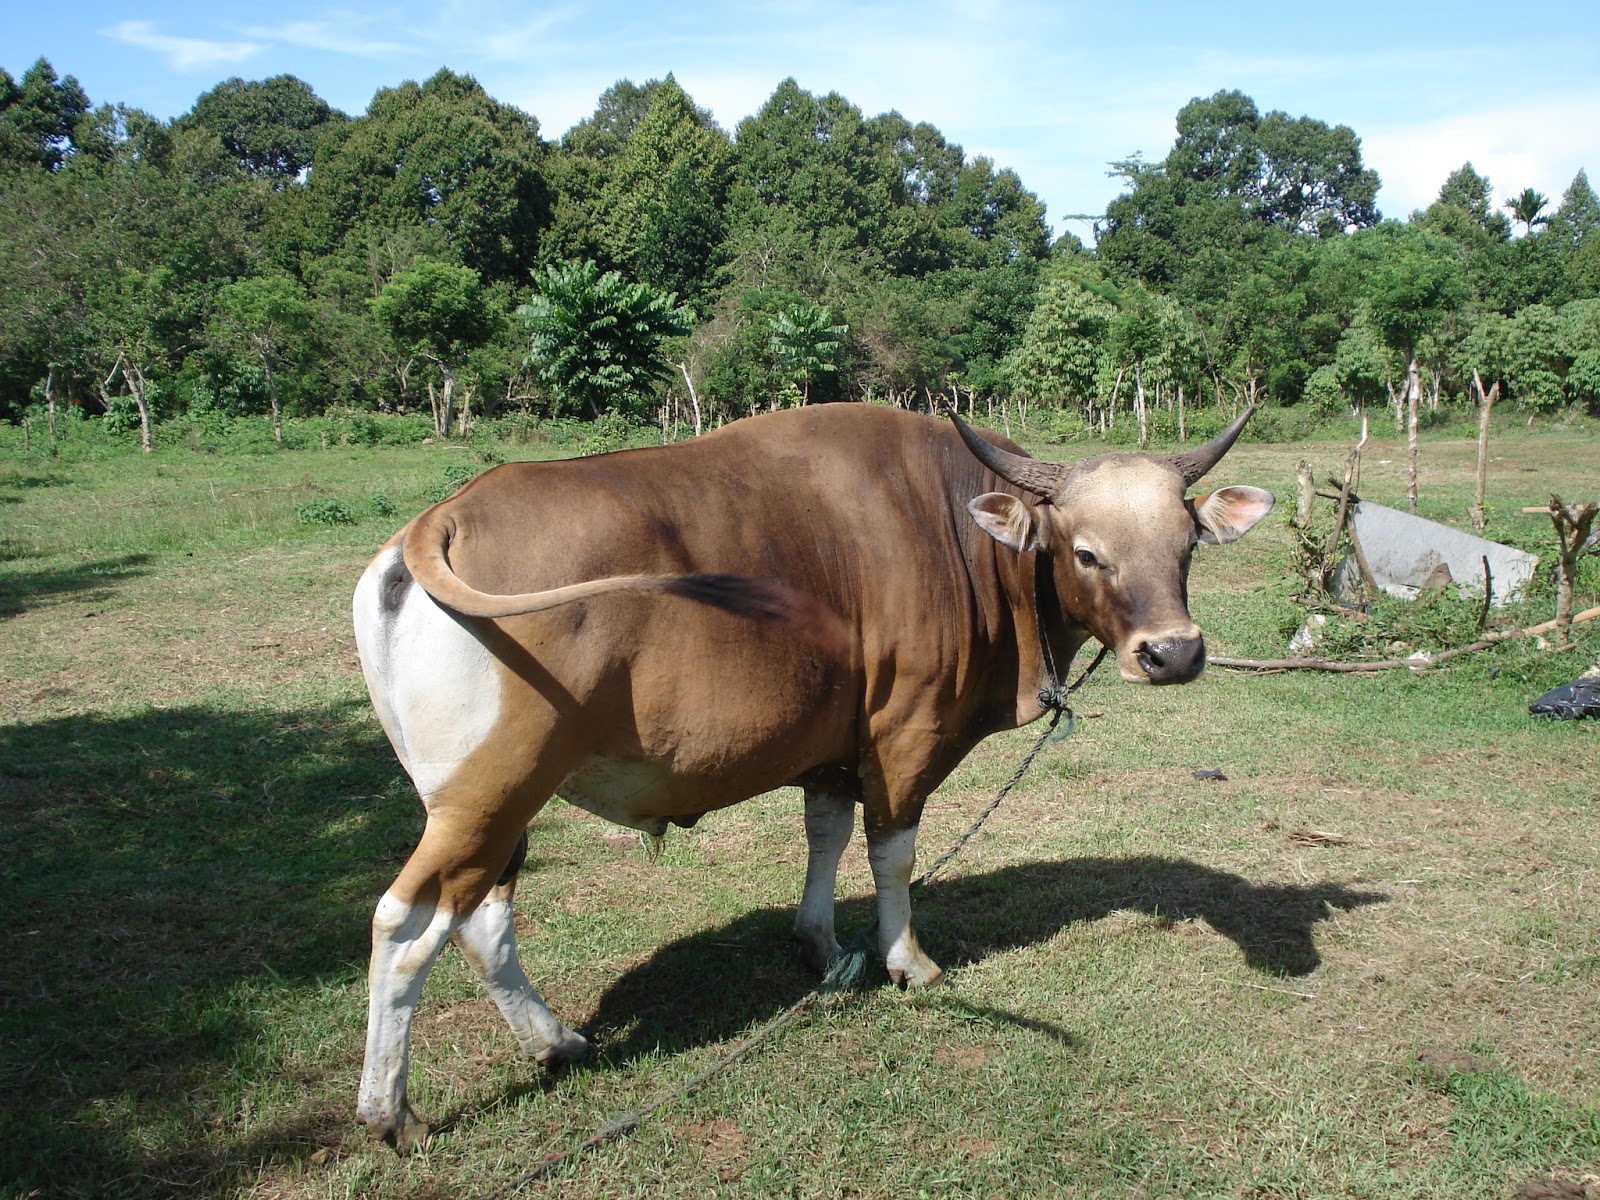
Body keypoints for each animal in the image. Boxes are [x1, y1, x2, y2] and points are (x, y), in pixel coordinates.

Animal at [353, 401, 1273, 1145]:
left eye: (1187, 544)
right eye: (1085, 553)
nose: (1173, 653)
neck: (957, 536)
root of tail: (440, 523)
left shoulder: (833, 751)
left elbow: (825, 837)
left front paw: (822, 947)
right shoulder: (906, 738)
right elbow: (892, 853)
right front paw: (906, 961)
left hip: (494, 804)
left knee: (481, 920)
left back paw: (557, 1043)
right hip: (490, 796)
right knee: (405, 927)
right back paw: (391, 1112)